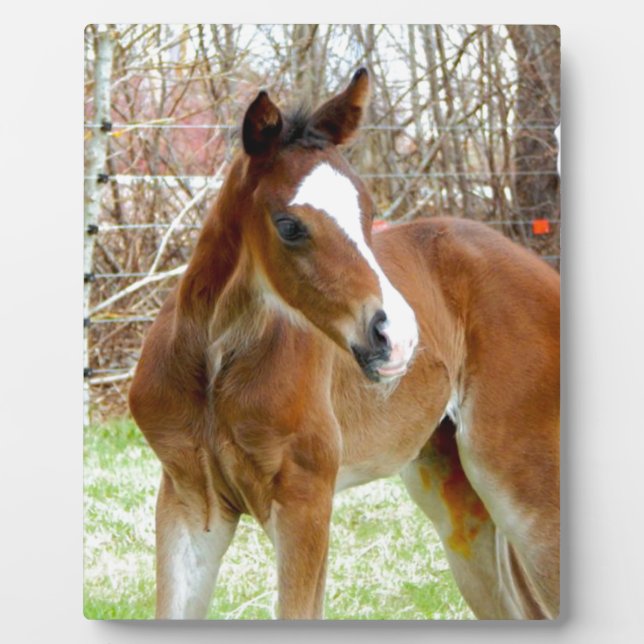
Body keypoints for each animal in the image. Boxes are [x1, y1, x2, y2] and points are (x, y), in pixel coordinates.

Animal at [128, 68, 560, 620]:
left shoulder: (306, 501)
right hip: (460, 502)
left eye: (368, 211)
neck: (215, 366)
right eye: (289, 225)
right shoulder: (188, 501)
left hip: (523, 486)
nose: (398, 336)